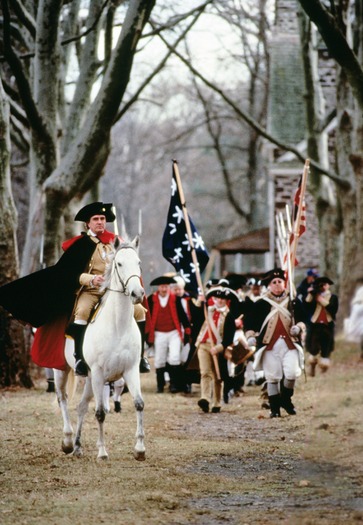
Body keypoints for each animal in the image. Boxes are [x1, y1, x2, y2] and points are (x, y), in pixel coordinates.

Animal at [54, 235, 145, 460]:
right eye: (119, 263)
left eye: (138, 262)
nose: (137, 294)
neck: (118, 326)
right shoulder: (98, 372)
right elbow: (101, 412)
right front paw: (102, 452)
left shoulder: (130, 370)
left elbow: (139, 403)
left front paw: (140, 449)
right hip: (63, 371)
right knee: (63, 399)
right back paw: (67, 441)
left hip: (88, 379)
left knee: (81, 407)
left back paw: (77, 446)